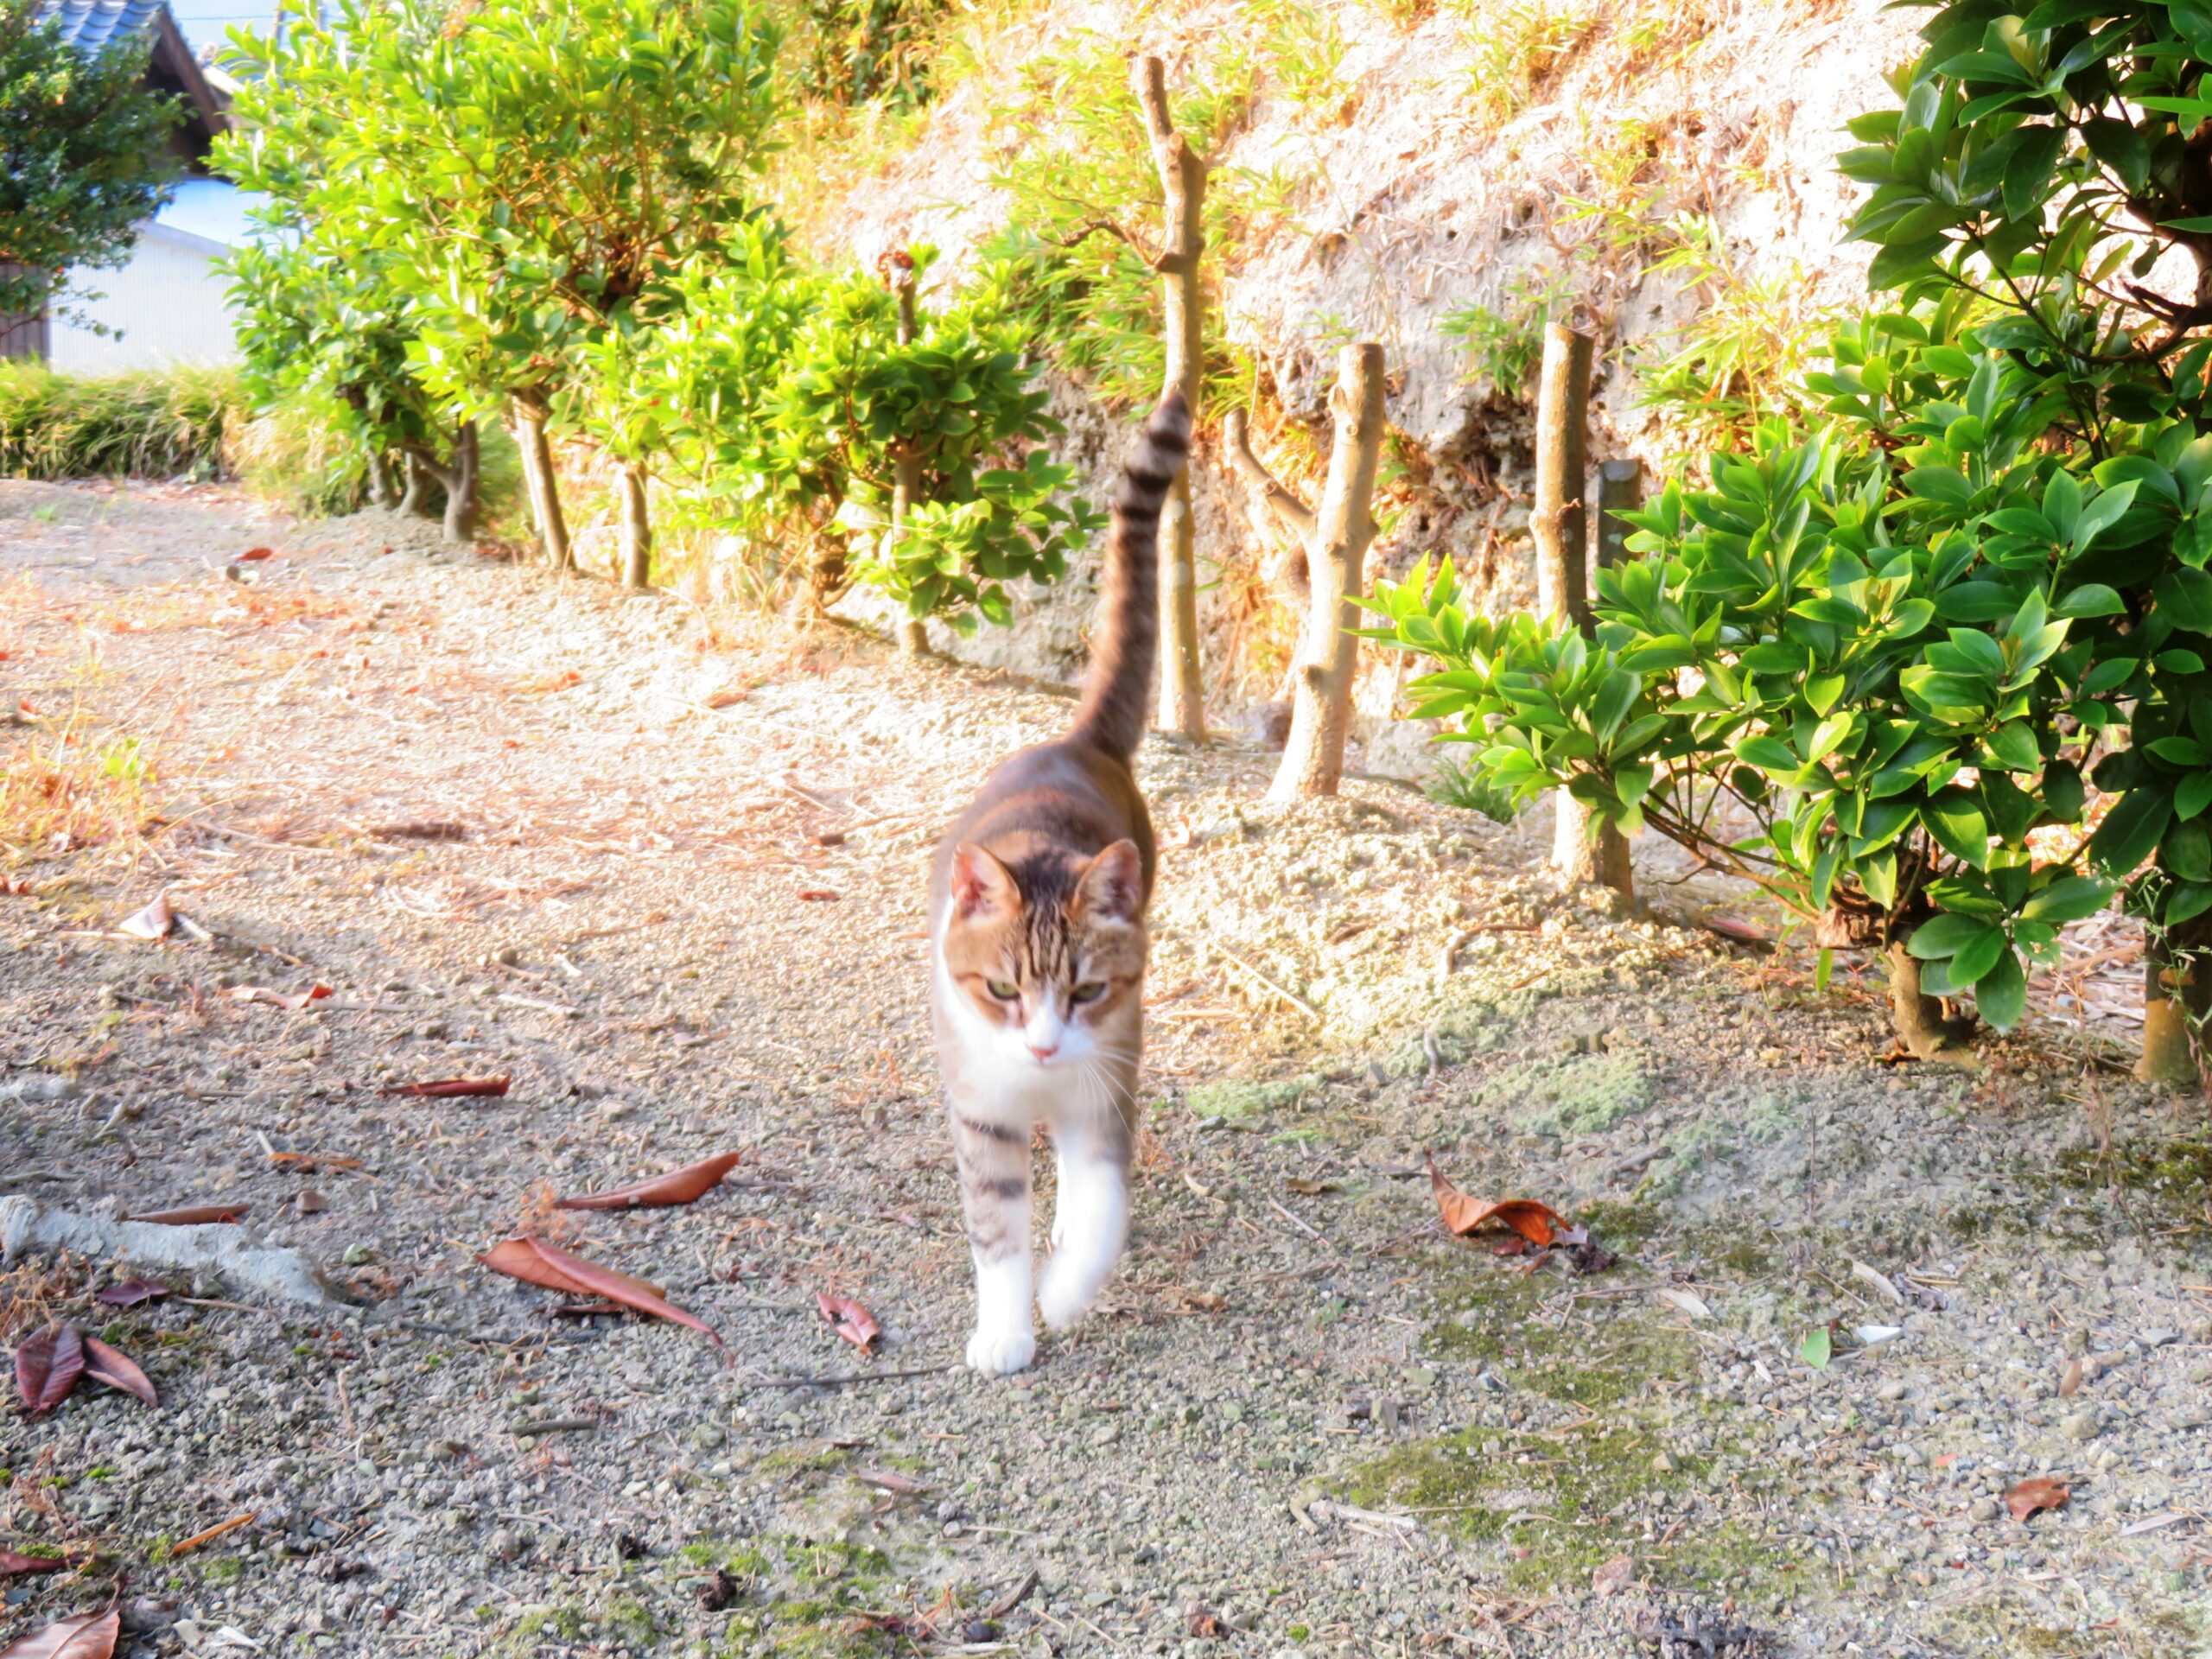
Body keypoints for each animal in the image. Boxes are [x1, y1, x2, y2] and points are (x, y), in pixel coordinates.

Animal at [929, 393, 1194, 1380]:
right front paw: (1006, 1327)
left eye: (1083, 989)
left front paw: (1067, 1290)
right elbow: (995, 1224)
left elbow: (1104, 1203)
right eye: (1002, 989)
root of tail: (1077, 742)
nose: (1043, 1047)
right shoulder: (982, 1108)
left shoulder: (1107, 1077)